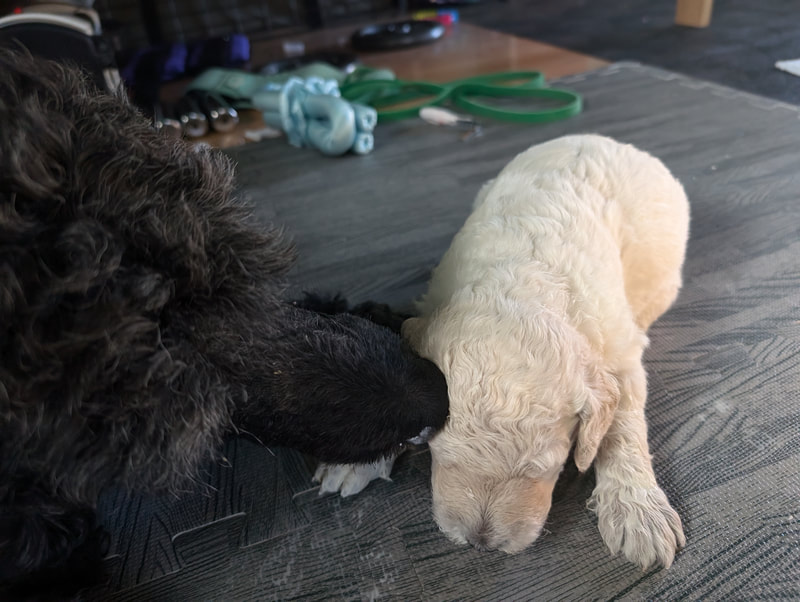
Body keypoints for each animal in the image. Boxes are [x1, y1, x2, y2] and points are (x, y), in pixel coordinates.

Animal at [402, 134, 689, 569]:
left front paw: (638, 511)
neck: (522, 280)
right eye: (441, 455)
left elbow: (623, 424)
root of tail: (608, 139)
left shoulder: (620, 346)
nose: (481, 544)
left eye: (545, 471)